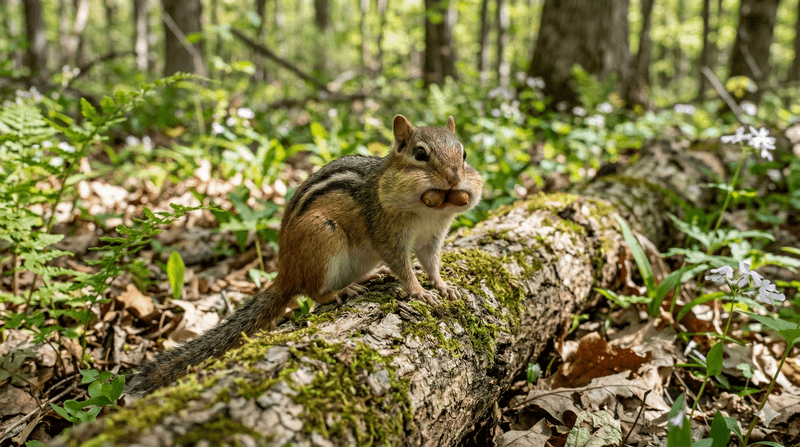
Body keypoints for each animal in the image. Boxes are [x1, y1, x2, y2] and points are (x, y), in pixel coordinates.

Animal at [125, 114, 484, 398]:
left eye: (465, 153)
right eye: (420, 154)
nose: (455, 178)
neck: (429, 210)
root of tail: (285, 272)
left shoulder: (432, 237)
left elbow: (431, 263)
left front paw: (442, 286)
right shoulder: (386, 231)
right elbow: (402, 265)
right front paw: (419, 292)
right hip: (323, 237)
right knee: (312, 292)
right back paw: (340, 291)